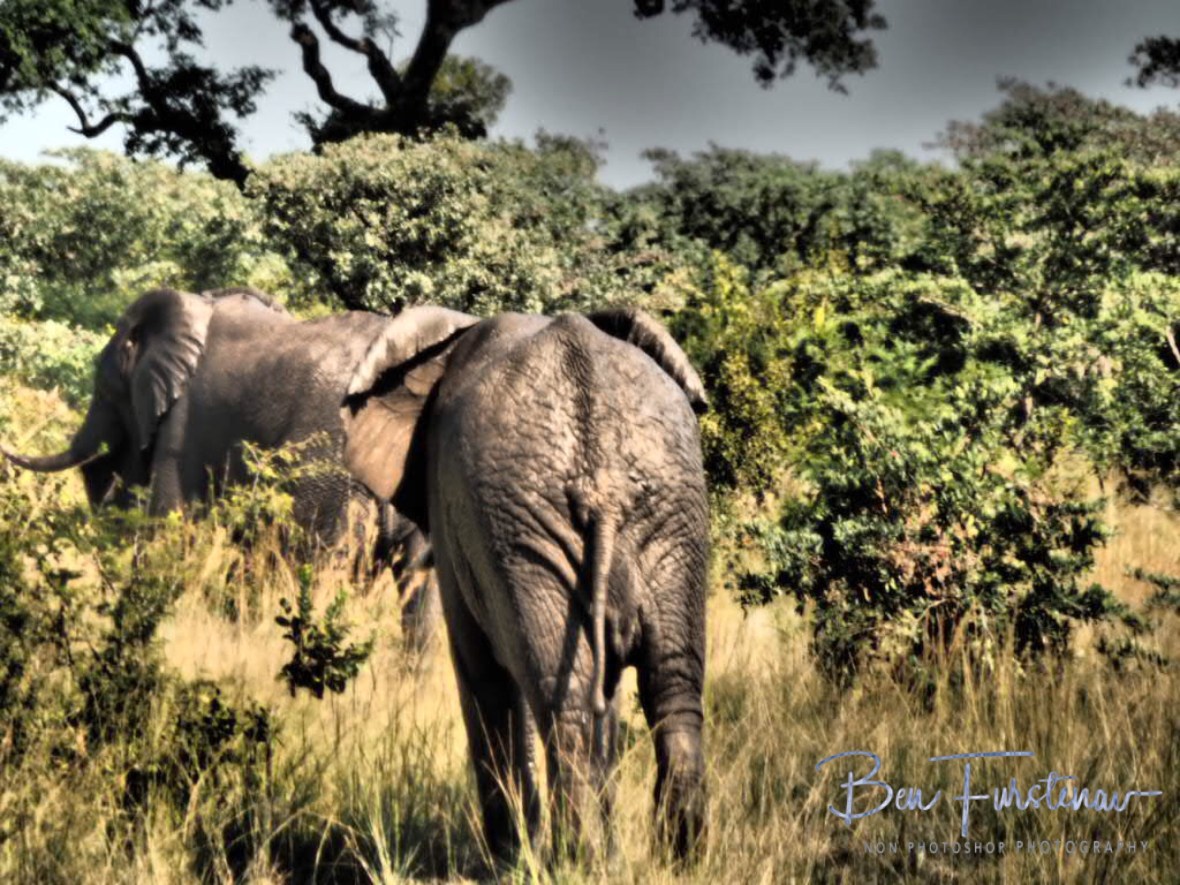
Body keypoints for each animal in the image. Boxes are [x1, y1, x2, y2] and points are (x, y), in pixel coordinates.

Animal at [3, 286, 436, 642]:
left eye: (105, 390)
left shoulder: (183, 424)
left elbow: (168, 529)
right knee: (422, 592)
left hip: (329, 471)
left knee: (319, 566)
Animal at [342, 305, 710, 862]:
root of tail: (602, 479)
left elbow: (480, 677)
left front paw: (509, 858)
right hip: (668, 511)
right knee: (670, 688)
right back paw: (676, 859)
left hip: (526, 522)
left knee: (565, 700)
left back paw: (577, 860)